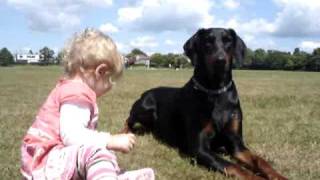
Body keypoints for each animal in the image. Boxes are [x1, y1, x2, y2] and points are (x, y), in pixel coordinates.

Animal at [123, 27, 288, 179]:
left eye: (228, 41)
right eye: (208, 41)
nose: (220, 60)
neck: (216, 91)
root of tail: (145, 92)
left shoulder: (237, 144)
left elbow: (260, 161)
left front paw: (279, 176)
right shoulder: (200, 149)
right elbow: (234, 166)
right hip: (146, 107)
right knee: (128, 119)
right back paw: (126, 133)